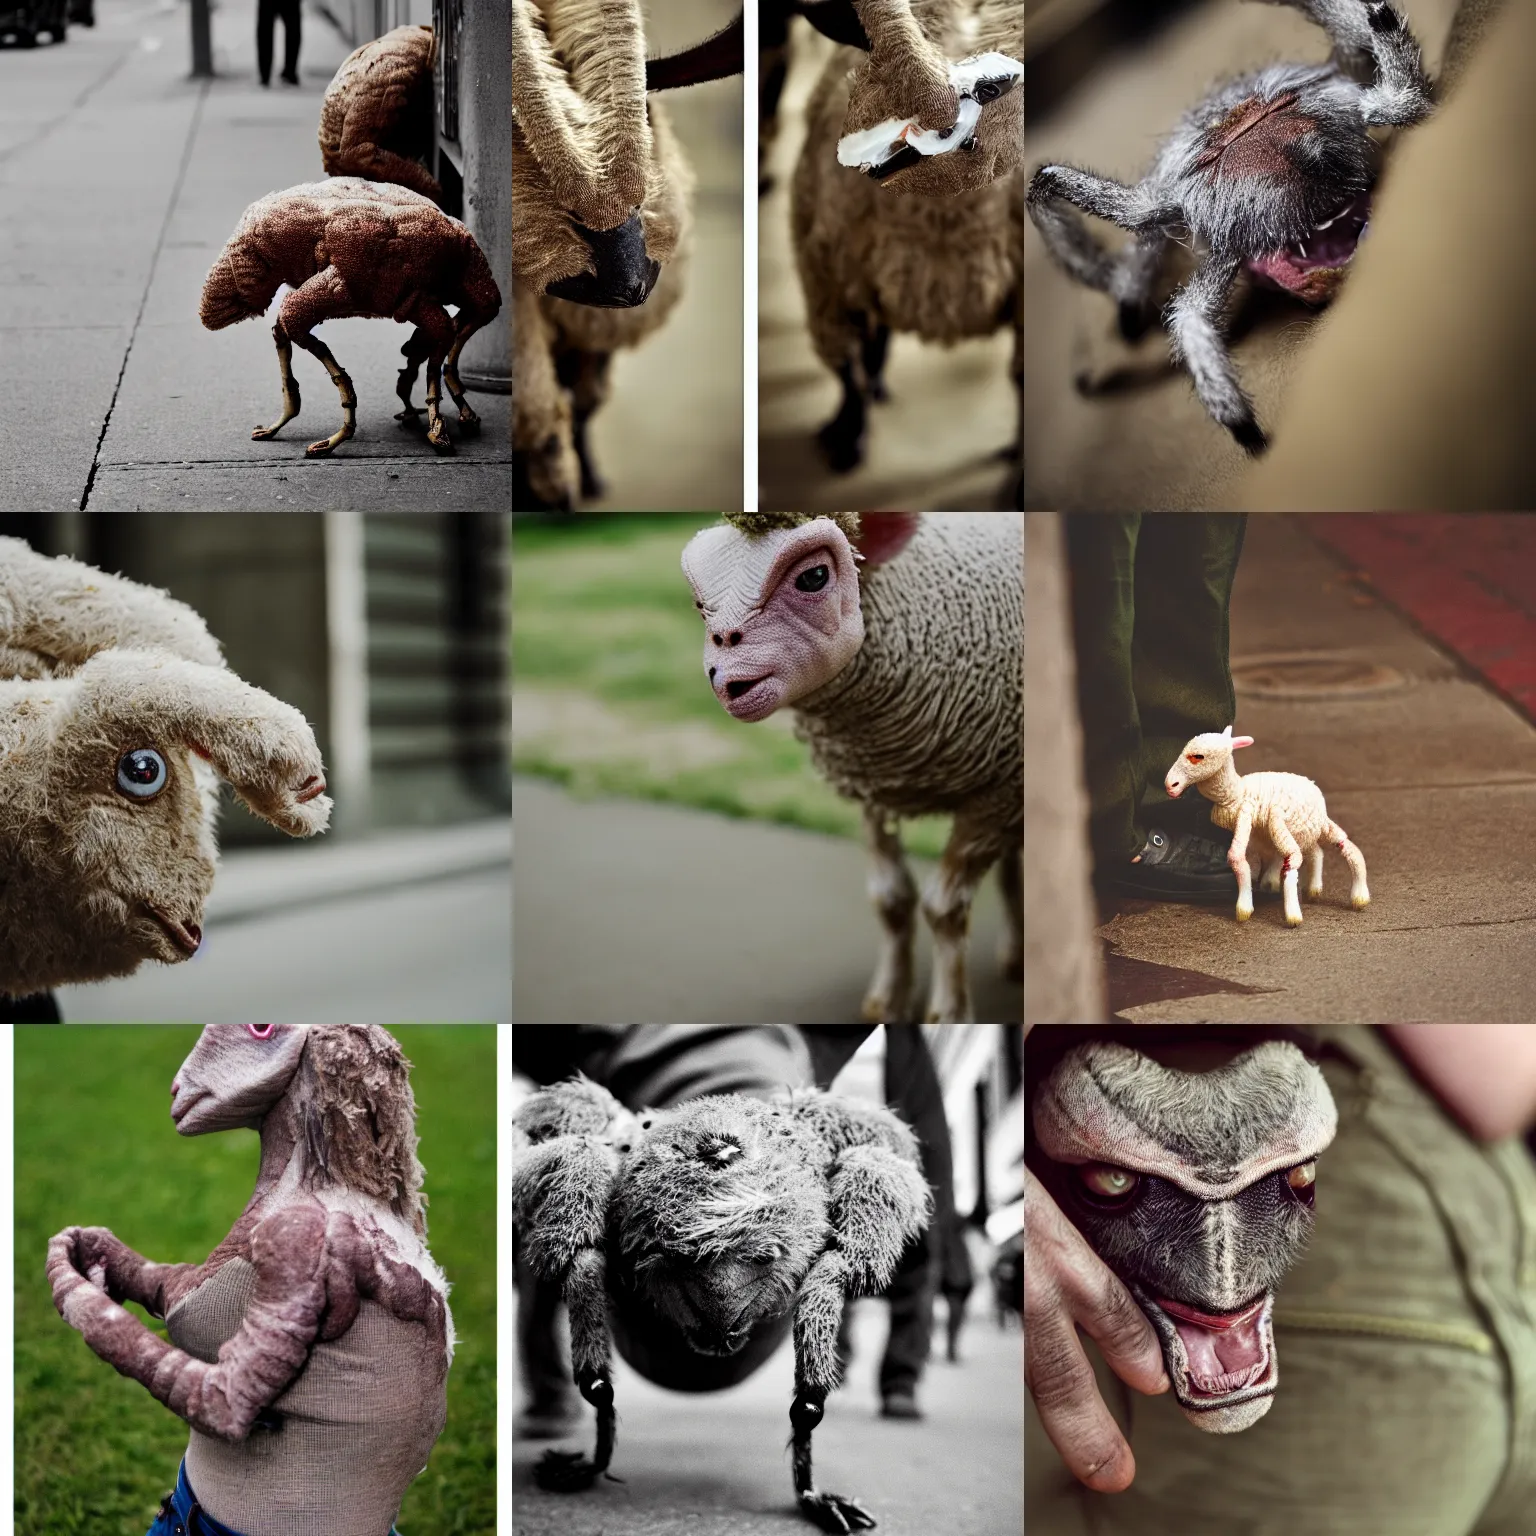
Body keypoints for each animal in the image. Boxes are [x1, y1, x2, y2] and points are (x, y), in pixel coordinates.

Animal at [1161, 728, 1370, 927]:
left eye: (1198, 756)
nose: (1171, 785)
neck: (1235, 793)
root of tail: (1313, 786)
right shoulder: (1255, 829)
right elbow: (1260, 858)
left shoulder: (1247, 814)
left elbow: (1238, 857)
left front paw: (1247, 909)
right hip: (1302, 830)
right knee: (1316, 851)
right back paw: (1312, 890)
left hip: (1309, 823)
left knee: (1345, 846)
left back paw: (1359, 897)